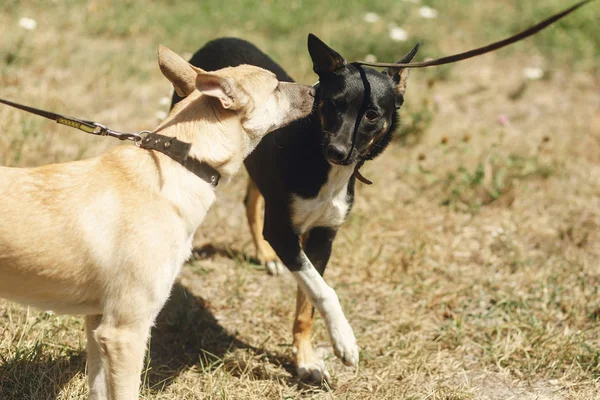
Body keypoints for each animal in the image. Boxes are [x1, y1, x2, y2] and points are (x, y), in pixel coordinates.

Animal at [0, 45, 314, 398]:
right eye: (275, 86)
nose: (316, 90)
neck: (183, 163)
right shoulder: (125, 332)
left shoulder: (97, 321)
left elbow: (97, 389)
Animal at [172, 35, 418, 384]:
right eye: (333, 104)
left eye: (371, 115)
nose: (337, 150)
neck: (324, 166)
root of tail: (220, 39)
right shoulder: (281, 232)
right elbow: (323, 291)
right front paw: (344, 340)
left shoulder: (322, 237)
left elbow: (309, 300)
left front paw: (306, 359)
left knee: (252, 200)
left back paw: (265, 257)